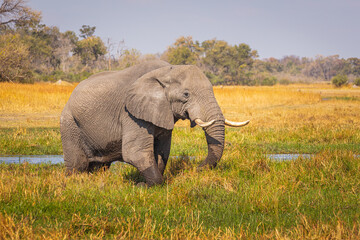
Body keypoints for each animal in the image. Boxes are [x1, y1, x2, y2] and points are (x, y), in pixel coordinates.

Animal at [60, 59, 249, 186]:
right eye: (186, 94)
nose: (196, 169)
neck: (166, 71)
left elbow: (162, 151)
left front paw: (147, 183)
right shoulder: (130, 113)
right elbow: (135, 152)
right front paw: (144, 186)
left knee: (100, 166)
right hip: (69, 122)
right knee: (78, 164)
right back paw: (73, 182)